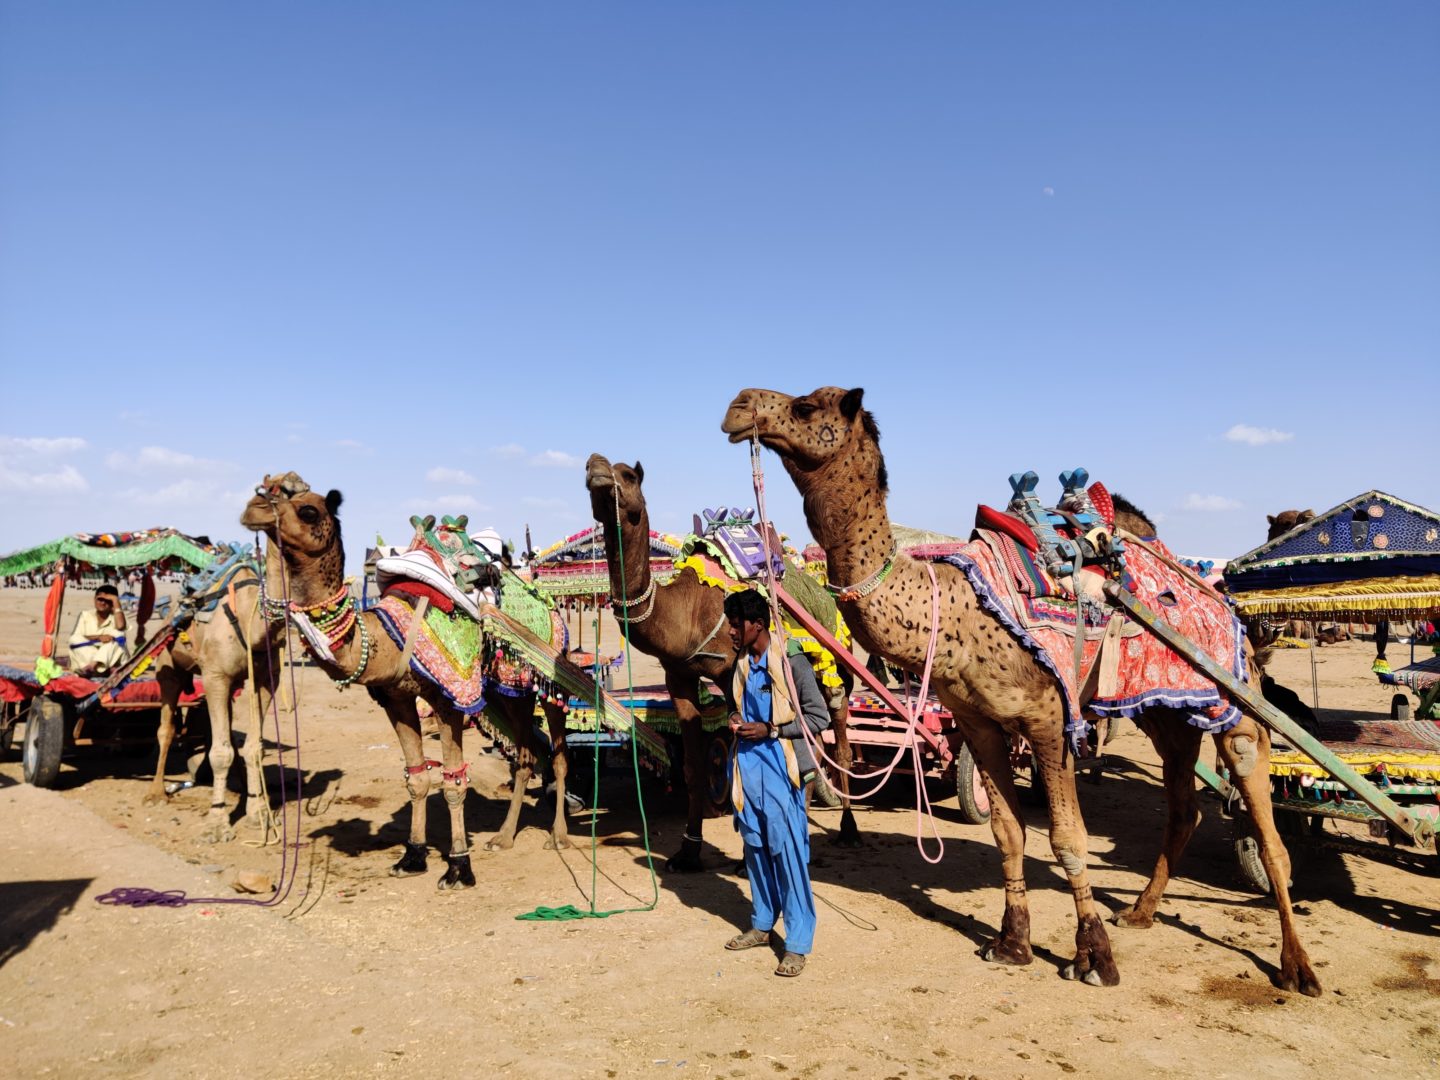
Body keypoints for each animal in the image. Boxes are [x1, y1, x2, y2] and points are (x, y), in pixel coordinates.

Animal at [237, 472, 573, 887]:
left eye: (308, 509)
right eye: (265, 490)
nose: (253, 509)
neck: (383, 638)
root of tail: (545, 598)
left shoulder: (450, 698)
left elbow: (453, 782)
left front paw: (458, 865)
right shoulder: (396, 699)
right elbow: (417, 778)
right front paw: (412, 855)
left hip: (552, 677)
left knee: (559, 754)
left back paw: (559, 836)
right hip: (509, 691)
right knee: (526, 754)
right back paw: (504, 837)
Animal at [584, 452, 852, 875]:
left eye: (628, 475)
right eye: (589, 468)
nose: (595, 466)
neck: (686, 610)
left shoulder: (731, 672)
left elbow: (741, 753)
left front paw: (746, 858)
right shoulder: (678, 676)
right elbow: (693, 770)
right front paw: (688, 851)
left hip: (834, 656)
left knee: (839, 729)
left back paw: (847, 829)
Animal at [725, 383, 1319, 996]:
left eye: (805, 406)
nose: (739, 404)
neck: (954, 606)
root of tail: (1218, 596)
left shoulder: (1050, 719)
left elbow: (1069, 839)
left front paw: (1093, 957)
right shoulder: (979, 723)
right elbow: (1008, 833)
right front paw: (1011, 943)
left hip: (1230, 697)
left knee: (1262, 812)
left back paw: (1296, 966)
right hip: (1165, 708)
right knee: (1183, 805)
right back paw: (1140, 911)